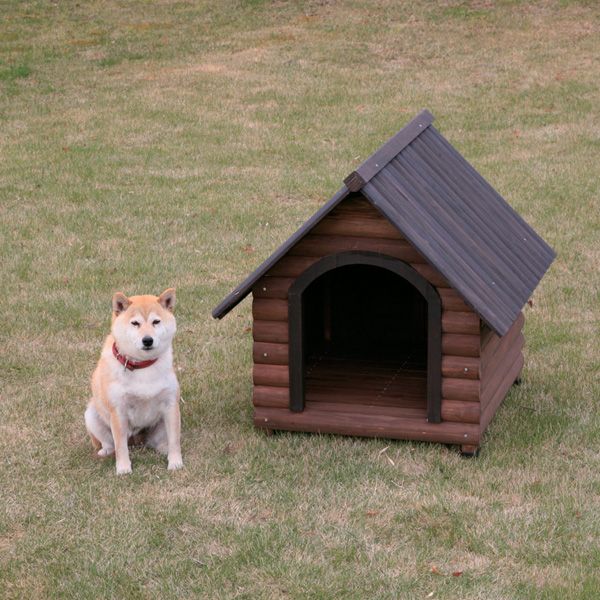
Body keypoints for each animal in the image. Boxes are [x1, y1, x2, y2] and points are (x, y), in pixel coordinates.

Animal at [85, 288, 183, 476]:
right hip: (91, 415)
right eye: (135, 323)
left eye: (156, 322)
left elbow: (175, 440)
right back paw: (106, 451)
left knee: (159, 442)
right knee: (112, 443)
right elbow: (121, 446)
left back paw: (164, 448)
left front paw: (175, 462)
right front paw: (123, 467)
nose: (147, 340)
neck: (142, 366)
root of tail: (137, 440)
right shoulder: (118, 411)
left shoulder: (170, 405)